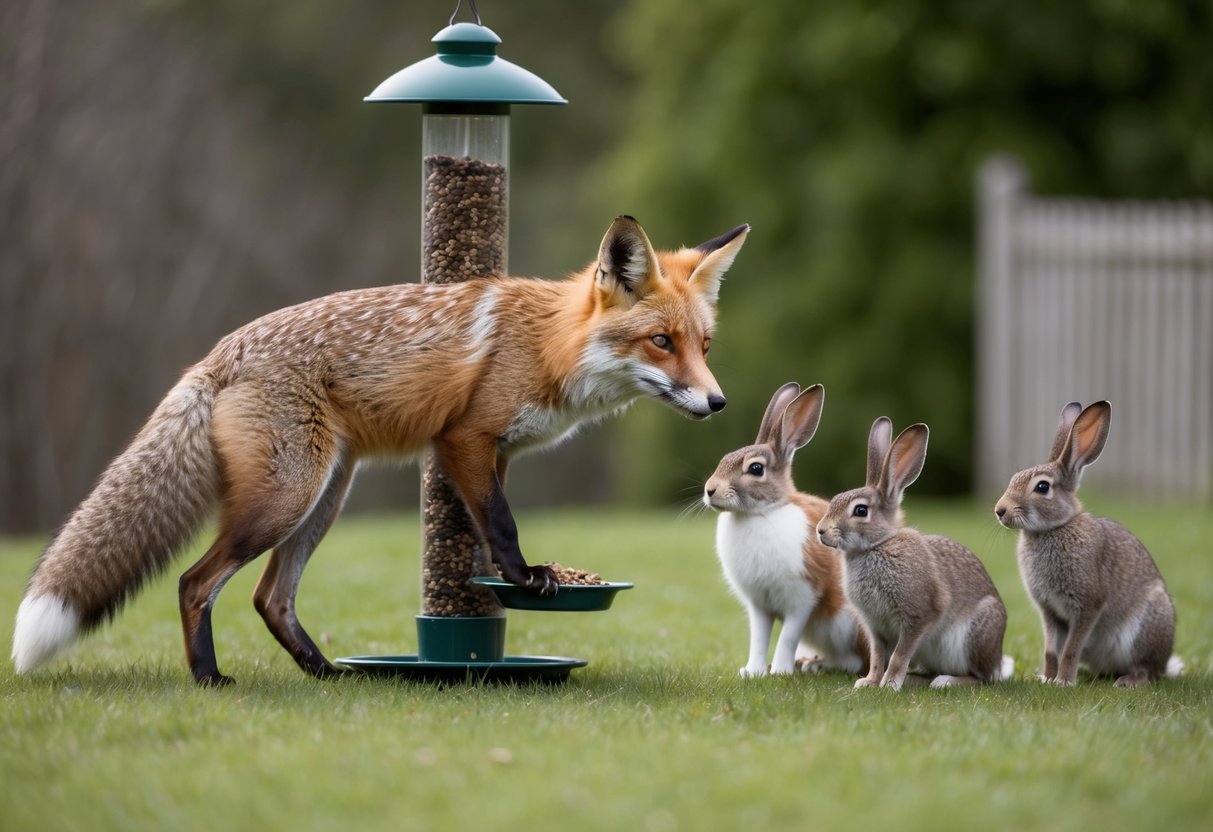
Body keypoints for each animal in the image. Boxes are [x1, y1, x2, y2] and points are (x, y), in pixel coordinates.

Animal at [12, 215, 749, 686]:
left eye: (705, 345)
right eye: (661, 342)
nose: (718, 402)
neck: (549, 346)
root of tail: (219, 352)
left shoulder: (499, 451)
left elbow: (487, 525)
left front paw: (499, 579)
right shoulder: (464, 437)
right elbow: (502, 522)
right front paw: (524, 574)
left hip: (325, 496)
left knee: (270, 598)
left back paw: (324, 674)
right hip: (287, 498)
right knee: (196, 582)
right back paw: (209, 678)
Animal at [703, 382, 870, 678]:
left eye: (756, 468)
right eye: (724, 459)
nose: (710, 490)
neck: (761, 513)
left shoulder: (801, 598)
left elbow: (788, 636)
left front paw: (780, 671)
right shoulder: (759, 605)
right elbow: (759, 638)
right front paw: (752, 672)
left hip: (845, 623)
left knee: (854, 662)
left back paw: (814, 665)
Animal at [817, 417, 1014, 691]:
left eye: (860, 510)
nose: (821, 531)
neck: (877, 545)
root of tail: (997, 661)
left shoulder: (917, 615)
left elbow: (899, 655)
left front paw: (888, 685)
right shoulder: (874, 626)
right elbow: (877, 656)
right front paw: (869, 683)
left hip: (975, 636)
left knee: (981, 678)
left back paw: (946, 681)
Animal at [995, 401, 1182, 688]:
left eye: (1042, 487)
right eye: (1014, 479)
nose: (1000, 510)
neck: (1054, 528)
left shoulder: (1088, 604)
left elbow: (1071, 648)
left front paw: (1063, 682)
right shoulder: (1049, 610)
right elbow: (1051, 650)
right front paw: (1047, 679)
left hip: (1149, 625)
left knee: (1147, 669)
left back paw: (1128, 681)